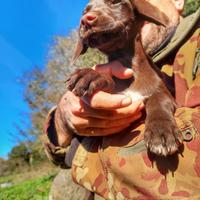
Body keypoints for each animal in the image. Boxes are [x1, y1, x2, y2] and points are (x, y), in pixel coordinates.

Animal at [66, 0, 180, 156]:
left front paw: (161, 129)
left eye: (115, 2)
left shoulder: (162, 91)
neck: (125, 60)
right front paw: (91, 75)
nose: (85, 20)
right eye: (84, 12)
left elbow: (158, 100)